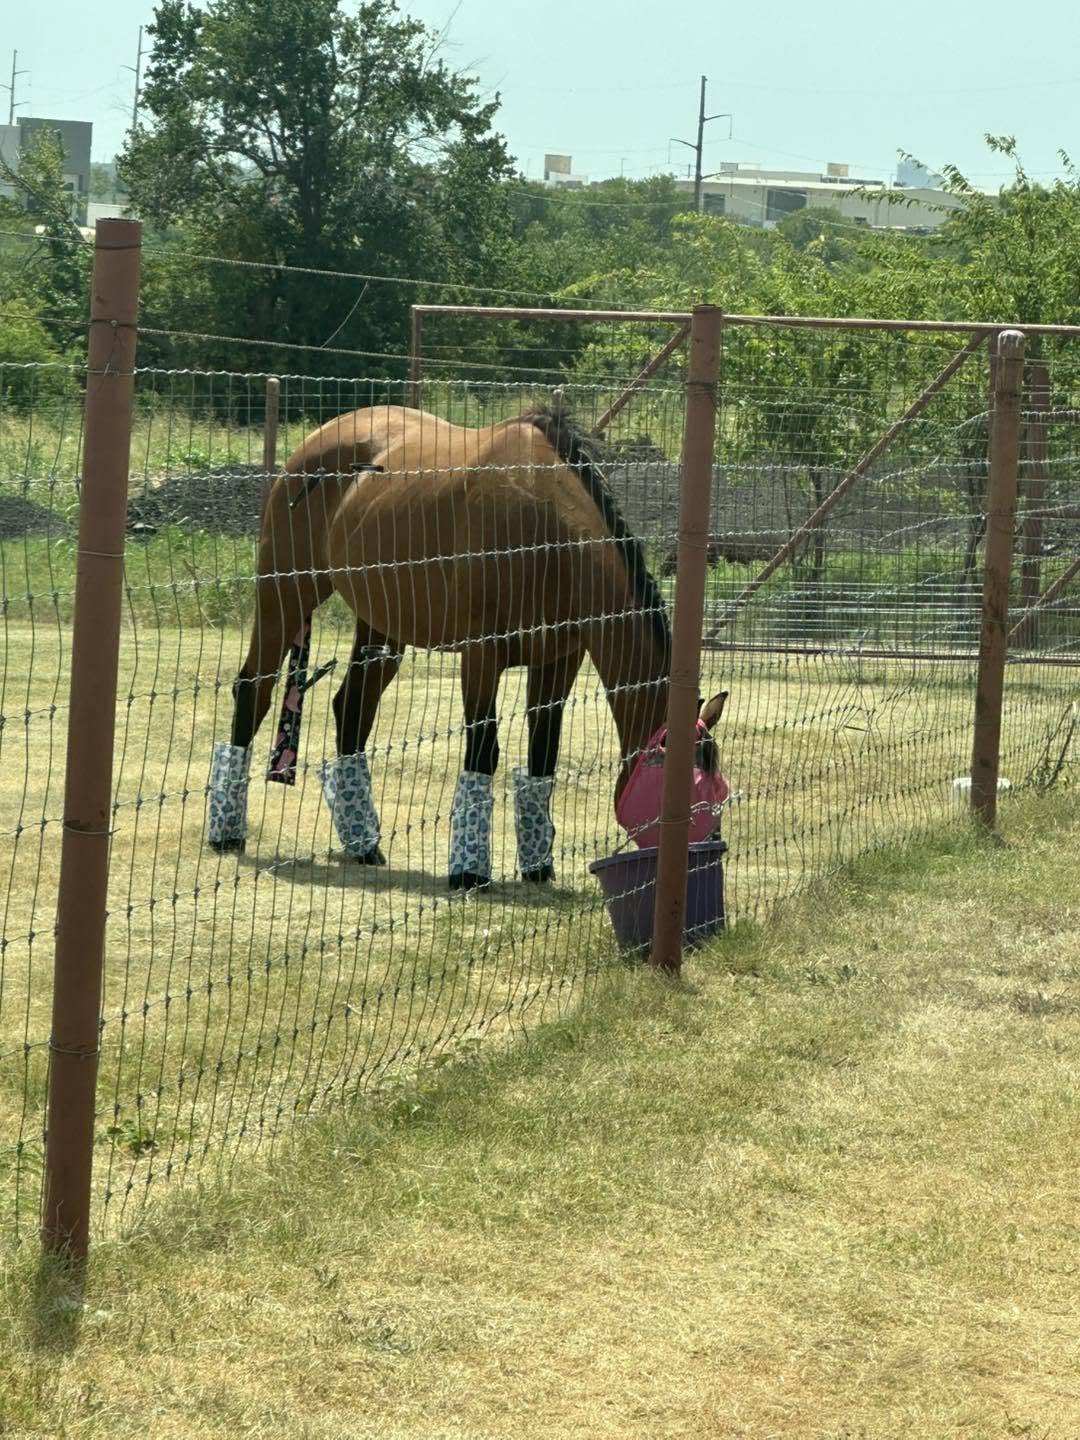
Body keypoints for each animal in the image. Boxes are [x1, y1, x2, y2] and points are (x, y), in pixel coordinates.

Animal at [206, 399, 727, 889]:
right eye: (695, 796)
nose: (705, 858)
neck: (547, 533)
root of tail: (314, 442)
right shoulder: (481, 656)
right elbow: (483, 750)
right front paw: (469, 871)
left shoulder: (559, 661)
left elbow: (543, 754)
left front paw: (538, 865)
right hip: (285, 592)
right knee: (253, 689)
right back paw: (227, 833)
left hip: (382, 626)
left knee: (352, 708)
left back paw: (363, 844)